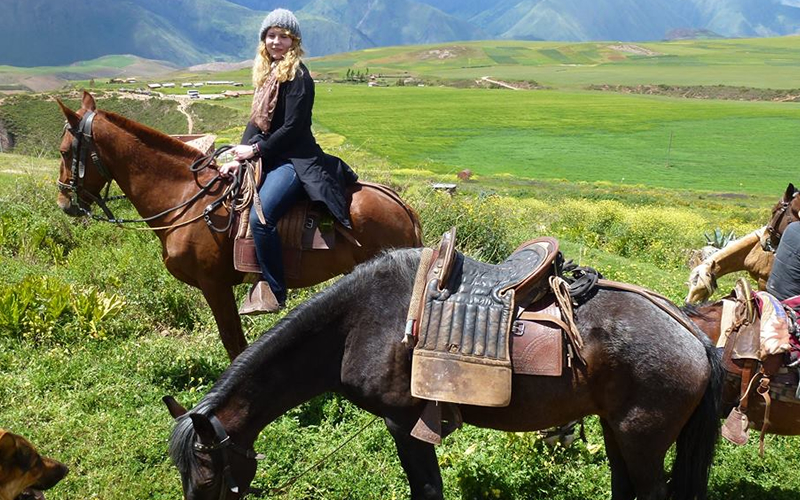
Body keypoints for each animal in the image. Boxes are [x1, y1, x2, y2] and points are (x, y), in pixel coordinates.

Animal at [54, 92, 422, 360]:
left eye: (64, 151)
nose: (64, 203)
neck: (188, 199)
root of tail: (402, 206)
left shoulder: (214, 285)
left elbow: (232, 340)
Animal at [164, 247, 724, 500]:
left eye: (208, 474)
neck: (359, 322)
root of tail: (692, 336)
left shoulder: (403, 423)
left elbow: (427, 489)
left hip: (642, 437)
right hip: (617, 430)